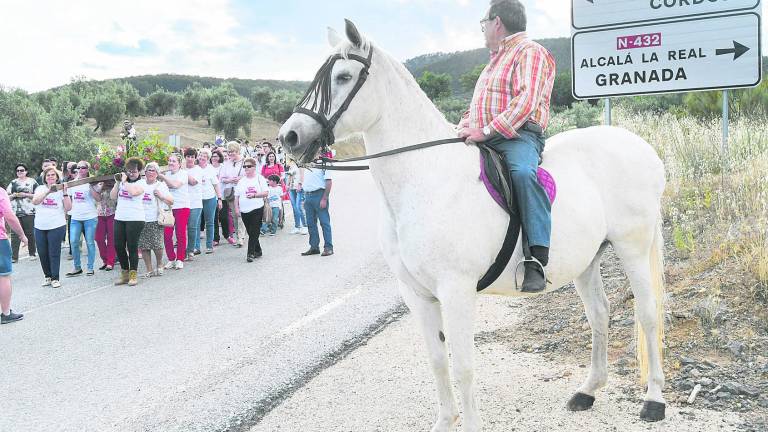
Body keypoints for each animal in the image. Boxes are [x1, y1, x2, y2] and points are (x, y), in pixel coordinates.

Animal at [278, 21, 664, 432]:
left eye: (344, 77)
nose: (290, 136)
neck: (425, 178)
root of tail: (644, 148)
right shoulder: (417, 296)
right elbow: (437, 362)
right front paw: (444, 422)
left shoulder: (457, 291)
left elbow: (463, 367)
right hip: (588, 260)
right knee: (599, 314)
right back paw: (587, 391)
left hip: (633, 248)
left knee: (647, 313)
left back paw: (654, 400)